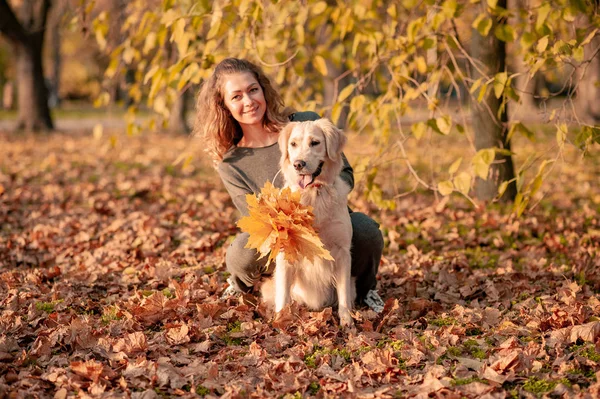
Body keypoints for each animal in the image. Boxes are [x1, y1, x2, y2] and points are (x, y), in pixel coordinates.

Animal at [262, 119, 356, 328]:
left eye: (315, 143)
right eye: (293, 144)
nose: (298, 164)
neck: (314, 193)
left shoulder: (342, 251)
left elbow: (343, 293)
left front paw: (346, 319)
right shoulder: (286, 253)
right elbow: (283, 295)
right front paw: (281, 319)